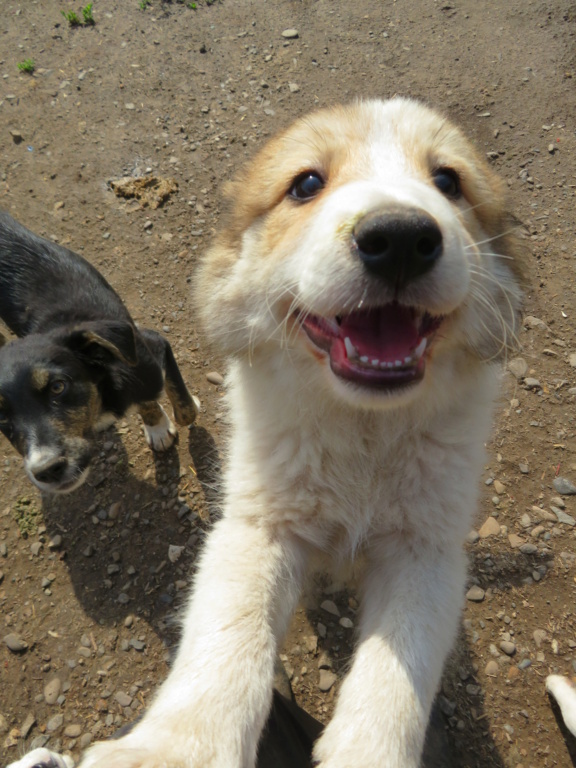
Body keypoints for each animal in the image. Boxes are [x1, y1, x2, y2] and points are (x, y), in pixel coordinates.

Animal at [0, 208, 200, 492]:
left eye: (58, 387)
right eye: (0, 416)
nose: (46, 470)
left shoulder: (151, 348)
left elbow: (184, 410)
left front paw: (163, 423)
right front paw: (157, 426)